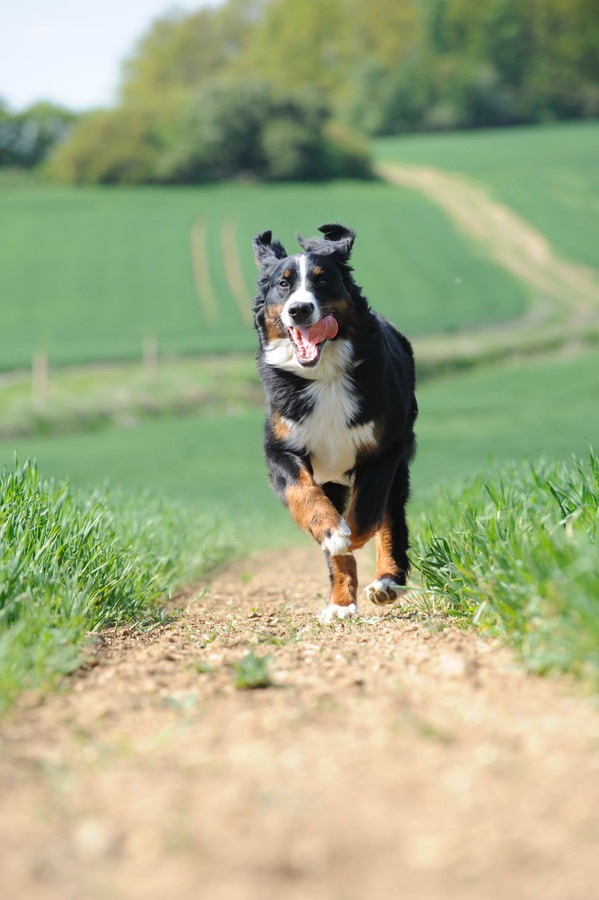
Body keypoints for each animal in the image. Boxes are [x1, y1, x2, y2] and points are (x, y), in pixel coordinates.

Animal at [252, 221, 418, 624]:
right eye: (283, 284)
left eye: (322, 279)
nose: (299, 309)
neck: (324, 375)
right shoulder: (280, 449)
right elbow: (304, 494)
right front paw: (331, 534)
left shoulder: (383, 449)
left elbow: (367, 515)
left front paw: (349, 537)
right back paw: (341, 602)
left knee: (390, 520)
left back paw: (386, 582)